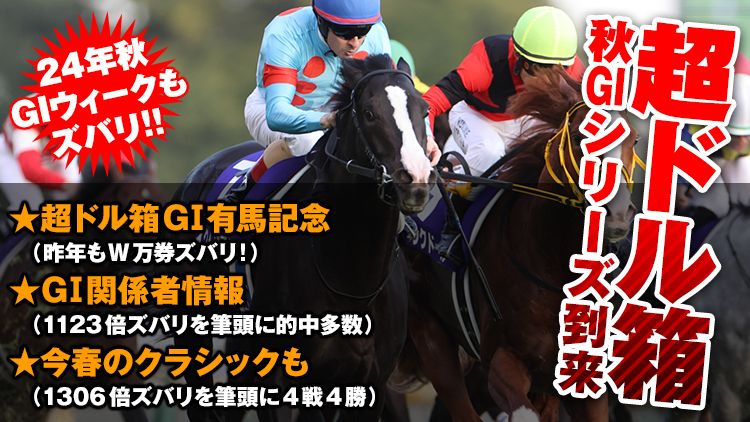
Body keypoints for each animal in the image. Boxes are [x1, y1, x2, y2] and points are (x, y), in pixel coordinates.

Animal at [172, 54, 436, 422]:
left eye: (423, 111)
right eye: (370, 113)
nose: (416, 179)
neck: (350, 280)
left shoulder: (371, 382)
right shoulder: (285, 379)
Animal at [397, 66, 639, 422]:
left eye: (634, 140)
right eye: (580, 137)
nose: (618, 213)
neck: (552, 263)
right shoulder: (501, 359)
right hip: (430, 333)